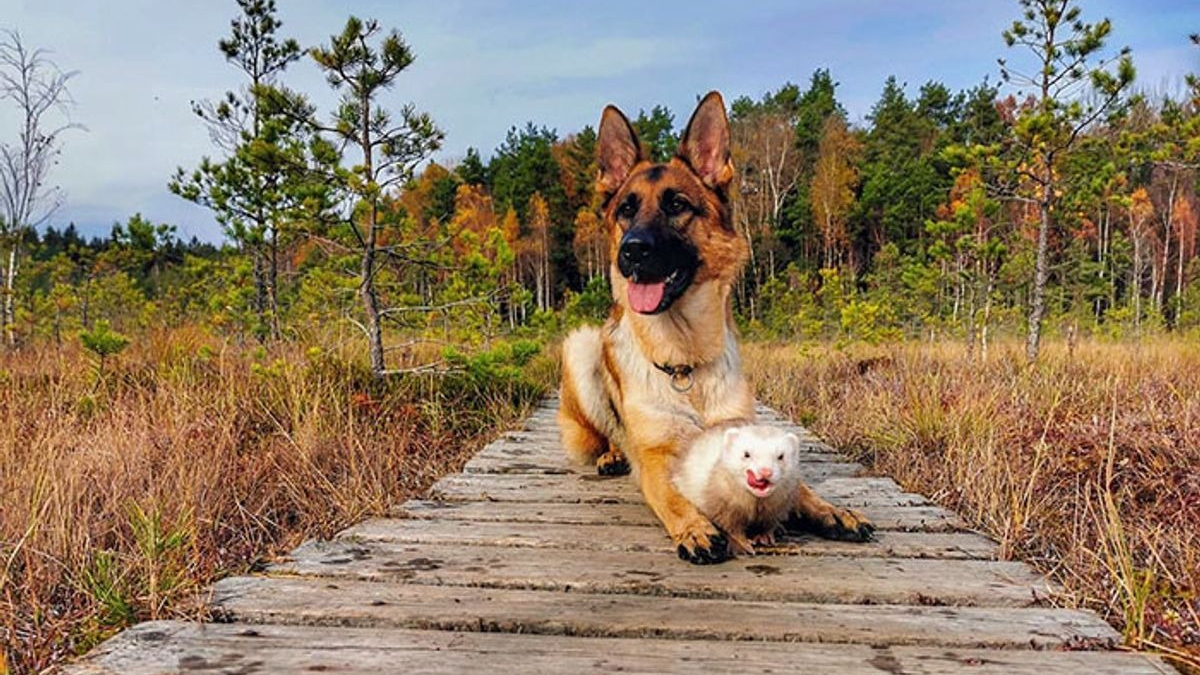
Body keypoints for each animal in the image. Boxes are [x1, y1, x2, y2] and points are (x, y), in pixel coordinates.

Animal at [556, 90, 878, 562]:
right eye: (626, 210)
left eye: (677, 205)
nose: (632, 252)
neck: (685, 362)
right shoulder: (657, 459)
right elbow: (672, 495)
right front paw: (695, 527)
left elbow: (799, 486)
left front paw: (831, 511)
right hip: (580, 348)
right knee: (606, 433)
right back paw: (612, 454)